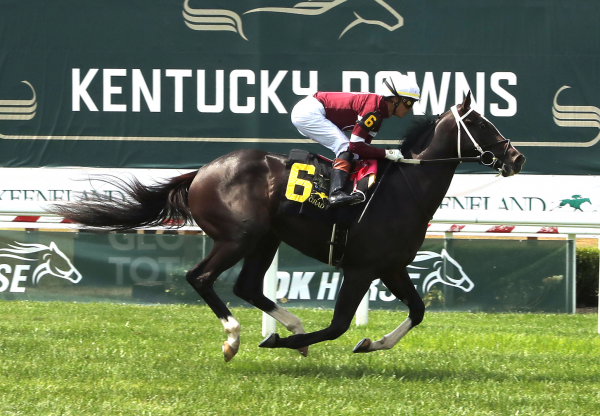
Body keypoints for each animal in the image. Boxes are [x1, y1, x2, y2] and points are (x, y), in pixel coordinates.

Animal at [51, 93, 524, 360]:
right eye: (479, 123)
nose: (516, 157)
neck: (405, 188)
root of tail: (202, 171)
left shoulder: (391, 266)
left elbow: (418, 310)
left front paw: (370, 344)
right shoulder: (360, 268)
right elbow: (337, 326)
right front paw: (283, 343)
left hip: (267, 238)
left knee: (246, 286)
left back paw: (291, 326)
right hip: (239, 236)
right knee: (201, 277)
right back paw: (236, 339)